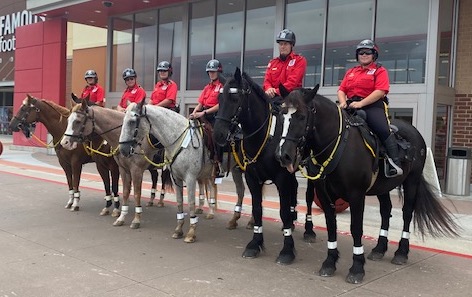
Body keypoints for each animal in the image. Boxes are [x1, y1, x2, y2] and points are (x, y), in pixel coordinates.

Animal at [215, 67, 318, 264]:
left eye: (235, 98)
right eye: (219, 99)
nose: (220, 135)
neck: (265, 136)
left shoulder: (281, 177)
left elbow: (283, 211)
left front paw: (287, 250)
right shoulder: (252, 177)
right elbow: (257, 208)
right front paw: (255, 243)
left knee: (308, 197)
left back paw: (308, 229)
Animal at [276, 86, 458, 284]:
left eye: (301, 116)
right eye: (281, 115)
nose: (283, 155)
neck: (338, 145)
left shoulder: (356, 195)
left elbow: (356, 229)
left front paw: (357, 267)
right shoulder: (325, 195)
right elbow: (331, 225)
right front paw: (330, 262)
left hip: (412, 181)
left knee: (407, 213)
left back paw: (401, 252)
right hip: (383, 187)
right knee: (386, 210)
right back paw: (380, 248)